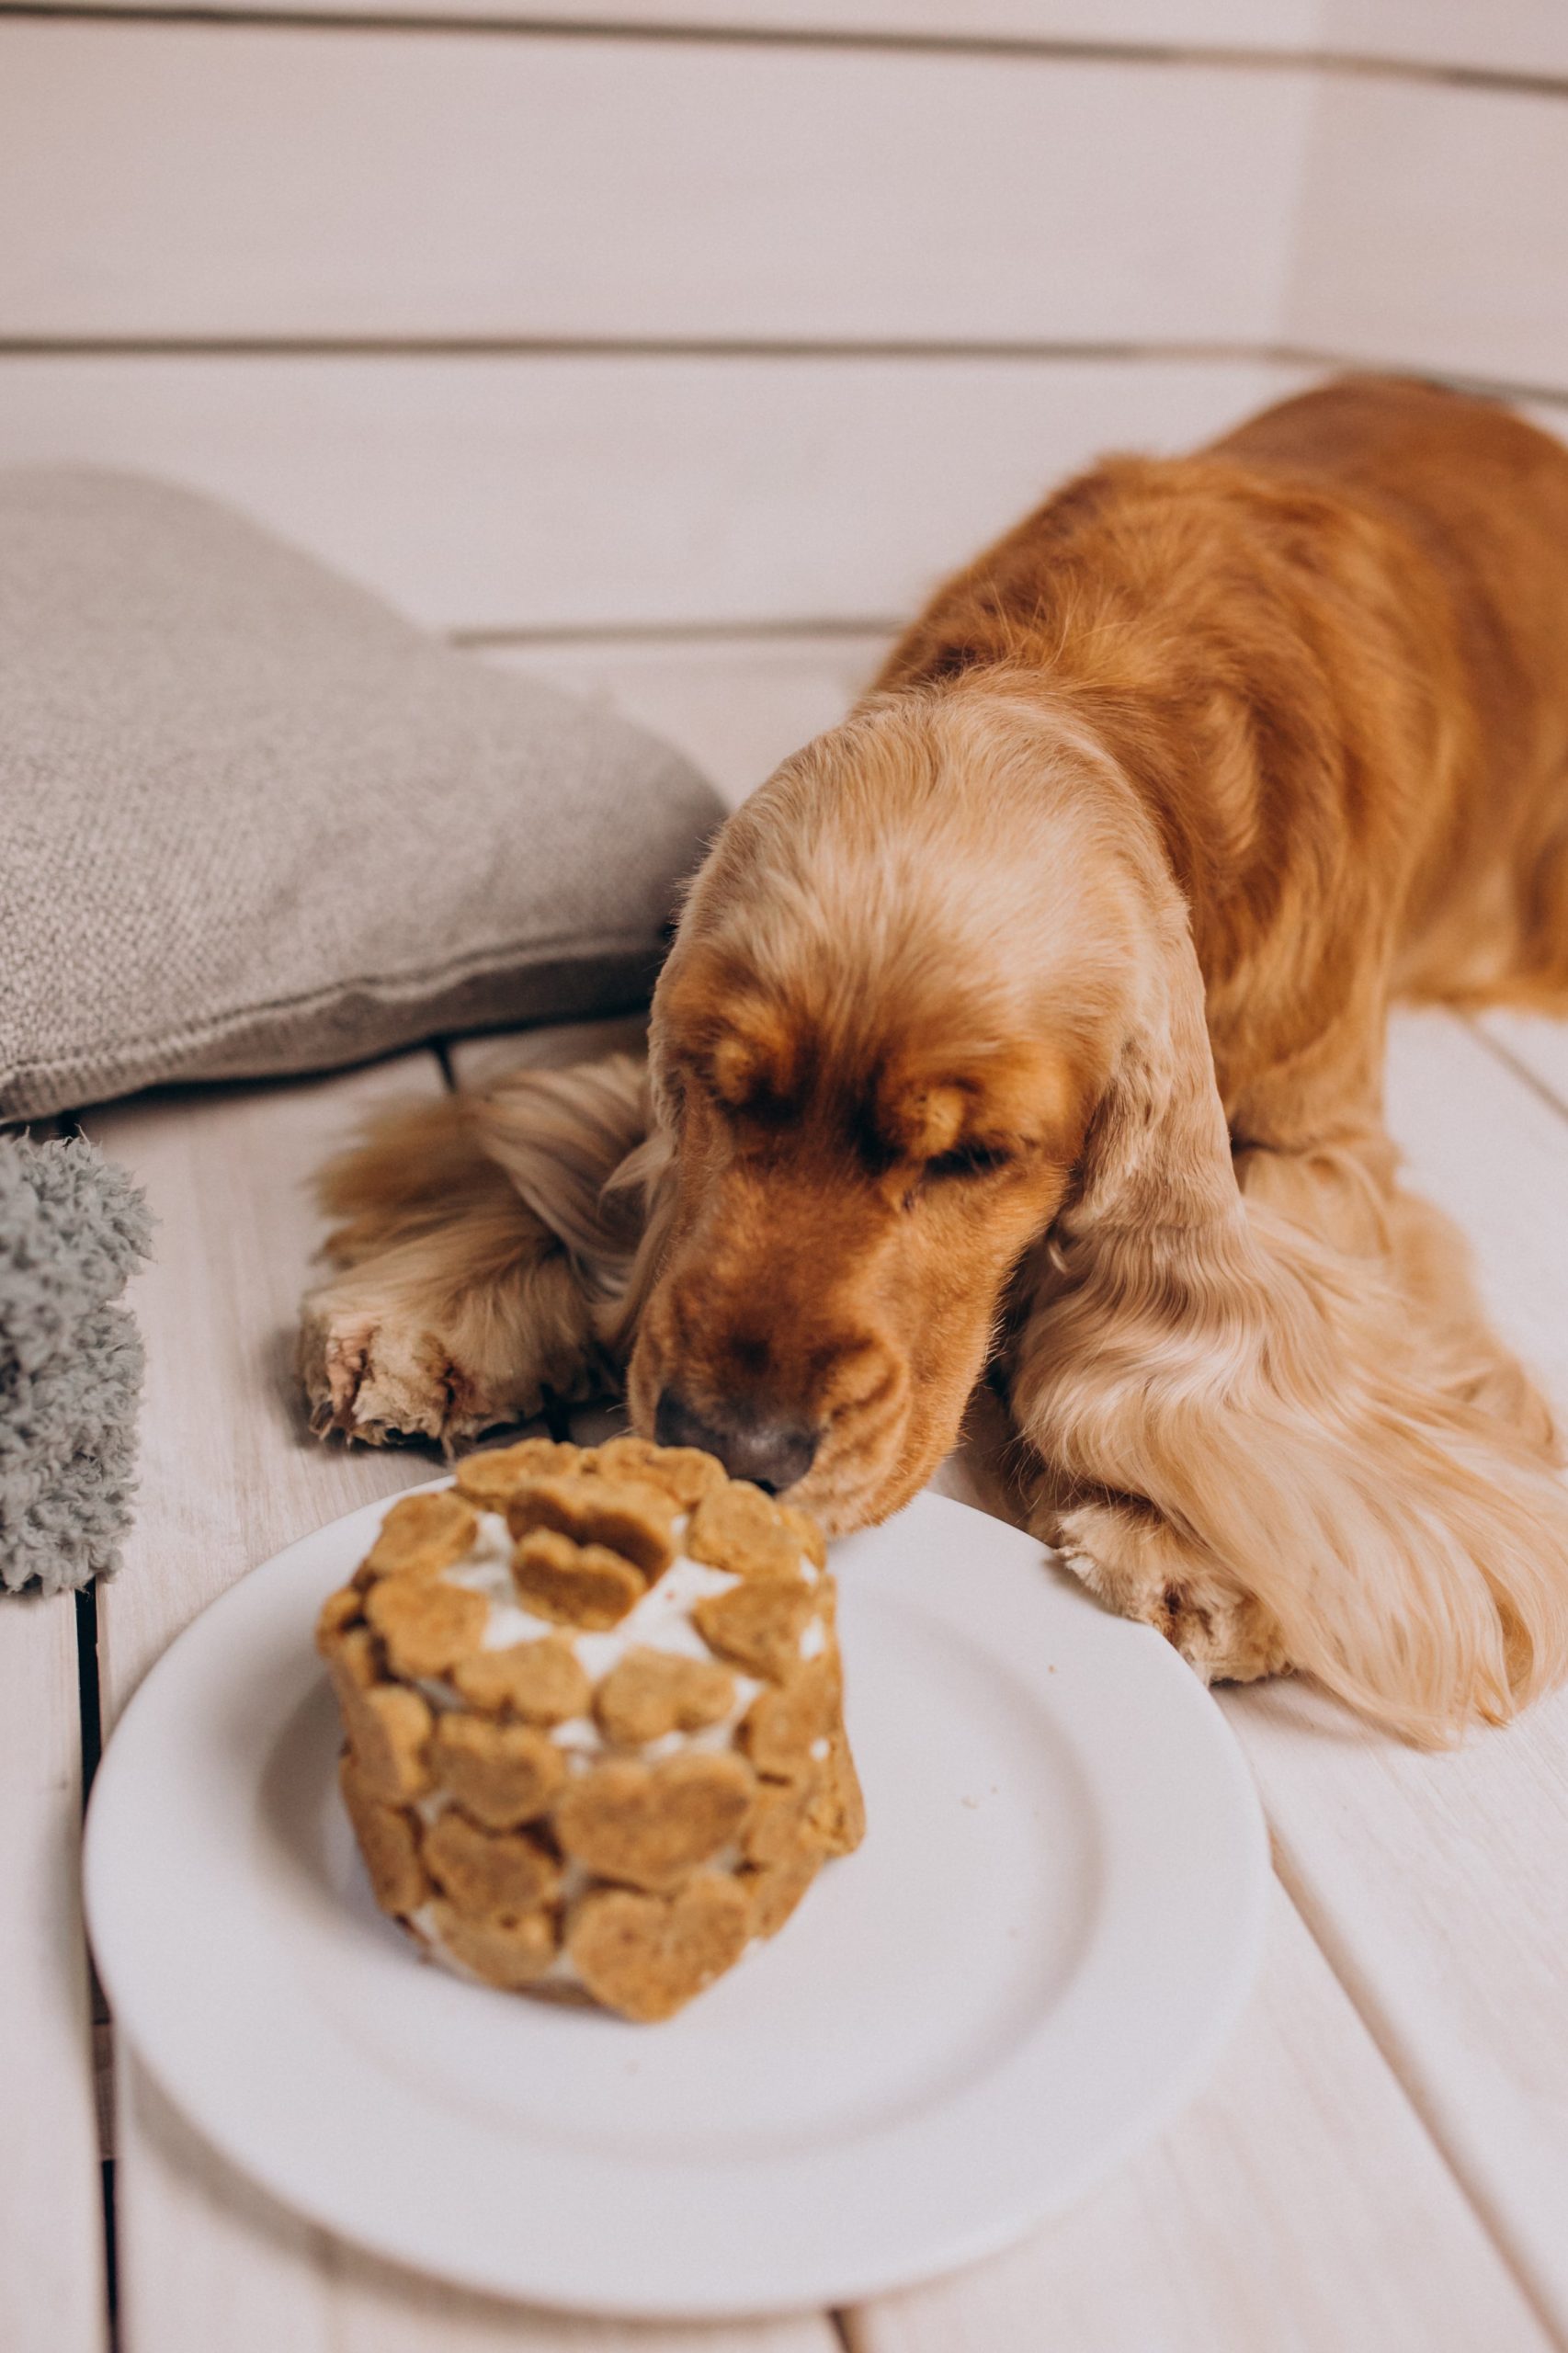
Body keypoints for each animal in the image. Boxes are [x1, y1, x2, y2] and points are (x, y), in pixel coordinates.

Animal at [301, 381, 1562, 1750]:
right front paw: (441, 1305)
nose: (732, 1448)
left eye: (975, 1157)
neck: (1089, 683)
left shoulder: (1320, 1132)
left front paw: (1188, 1540)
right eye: (720, 1092)